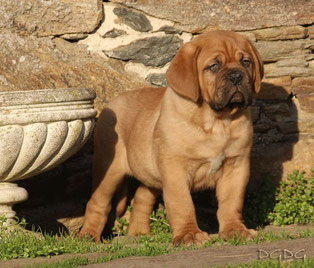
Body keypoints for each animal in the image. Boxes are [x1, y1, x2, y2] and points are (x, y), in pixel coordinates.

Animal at [79, 30, 264, 245]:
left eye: (246, 62)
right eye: (214, 66)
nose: (236, 76)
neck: (217, 121)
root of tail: (113, 102)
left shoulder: (236, 166)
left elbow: (231, 202)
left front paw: (235, 230)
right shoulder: (175, 169)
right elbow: (182, 204)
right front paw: (189, 235)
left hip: (149, 173)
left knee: (142, 198)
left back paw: (139, 234)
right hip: (108, 169)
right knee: (98, 202)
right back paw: (88, 236)